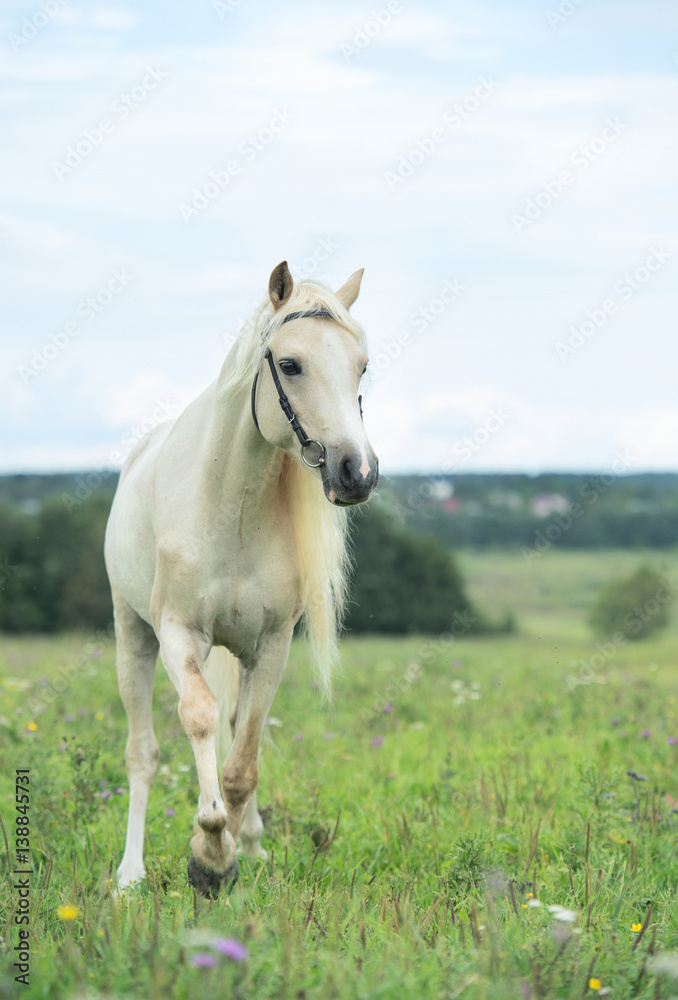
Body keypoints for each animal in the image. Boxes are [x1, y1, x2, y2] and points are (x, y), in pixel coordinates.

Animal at [107, 262, 382, 896]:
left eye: (361, 366)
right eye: (290, 364)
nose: (357, 472)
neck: (230, 505)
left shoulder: (270, 646)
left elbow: (242, 760)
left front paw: (225, 853)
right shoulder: (179, 635)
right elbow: (199, 719)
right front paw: (209, 848)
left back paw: (248, 841)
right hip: (132, 636)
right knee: (143, 753)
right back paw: (130, 873)